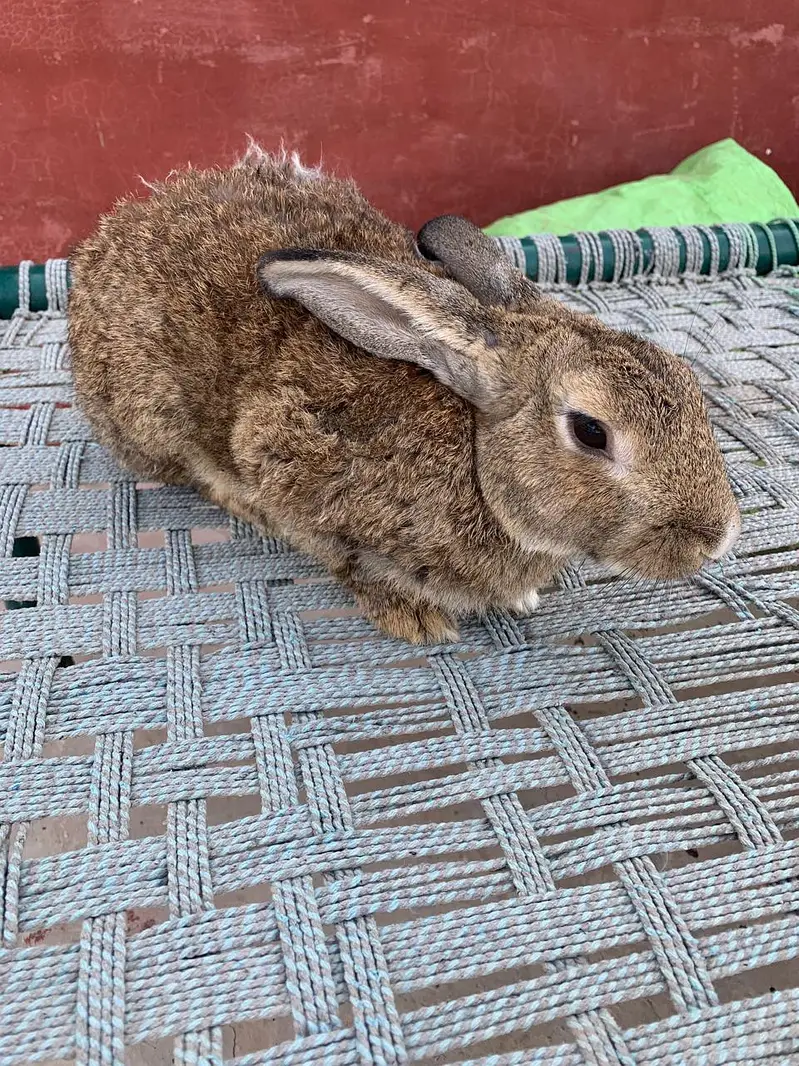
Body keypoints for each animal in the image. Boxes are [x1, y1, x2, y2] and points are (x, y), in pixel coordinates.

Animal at [68, 144, 740, 644]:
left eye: (687, 383)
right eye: (591, 431)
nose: (718, 538)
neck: (477, 459)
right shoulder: (287, 456)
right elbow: (342, 556)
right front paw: (414, 617)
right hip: (154, 415)